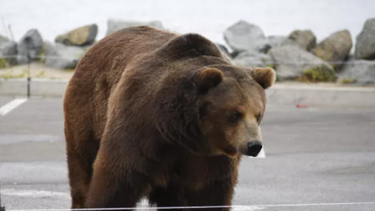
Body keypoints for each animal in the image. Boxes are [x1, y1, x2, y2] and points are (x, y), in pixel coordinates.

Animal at [64, 25, 276, 210]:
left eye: (258, 114)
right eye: (235, 114)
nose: (254, 145)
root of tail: (95, 46)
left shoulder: (208, 158)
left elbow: (210, 194)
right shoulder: (140, 124)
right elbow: (116, 181)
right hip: (88, 110)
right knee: (83, 162)